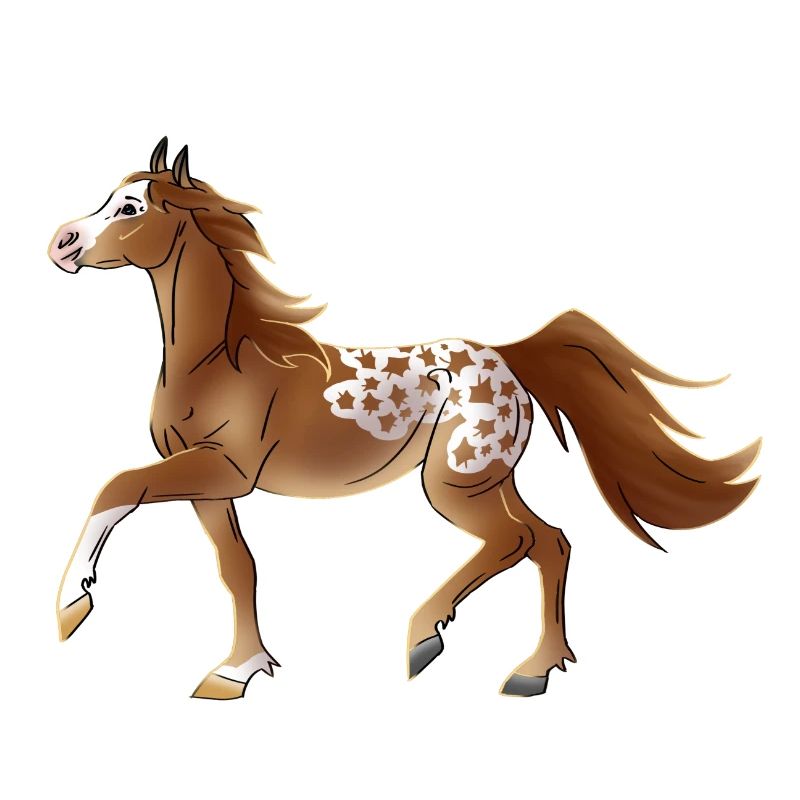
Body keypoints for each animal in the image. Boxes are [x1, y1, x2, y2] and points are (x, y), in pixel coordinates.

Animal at [49, 138, 759, 700]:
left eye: (131, 208)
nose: (61, 243)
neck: (223, 361)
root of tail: (509, 358)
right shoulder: (209, 484)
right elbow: (236, 567)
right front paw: (237, 672)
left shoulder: (224, 470)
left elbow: (118, 485)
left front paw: (69, 606)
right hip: (485, 479)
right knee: (549, 540)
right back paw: (533, 671)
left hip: (452, 485)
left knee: (514, 541)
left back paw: (424, 641)